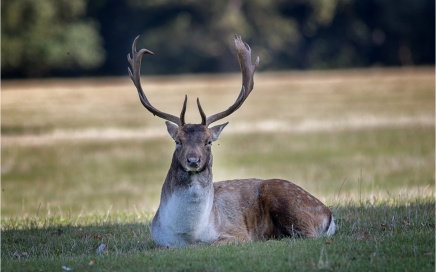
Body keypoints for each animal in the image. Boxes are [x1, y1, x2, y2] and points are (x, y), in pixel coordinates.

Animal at [127, 35, 336, 248]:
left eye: (208, 141)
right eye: (178, 141)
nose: (193, 161)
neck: (189, 235)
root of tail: (328, 214)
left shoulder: (237, 233)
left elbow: (215, 243)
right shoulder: (159, 239)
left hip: (288, 199)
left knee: (308, 234)